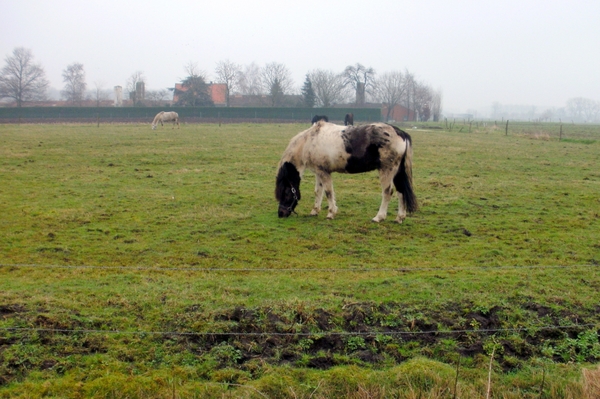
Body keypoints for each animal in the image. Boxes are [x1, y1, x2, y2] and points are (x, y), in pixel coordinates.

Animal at [276, 120, 418, 223]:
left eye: (286, 193)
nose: (281, 214)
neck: (310, 141)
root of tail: (401, 133)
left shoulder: (324, 173)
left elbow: (328, 192)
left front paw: (331, 213)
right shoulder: (319, 172)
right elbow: (318, 192)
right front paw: (314, 211)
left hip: (387, 170)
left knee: (388, 192)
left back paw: (379, 217)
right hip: (397, 172)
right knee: (401, 192)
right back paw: (399, 218)